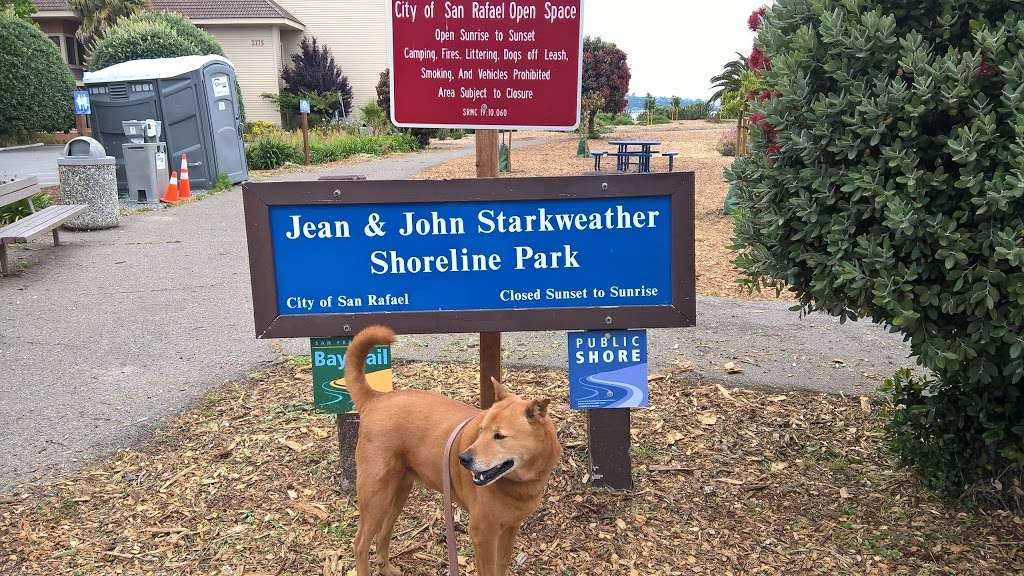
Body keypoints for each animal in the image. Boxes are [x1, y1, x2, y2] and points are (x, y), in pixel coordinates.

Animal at [348, 325, 565, 569]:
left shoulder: (510, 528)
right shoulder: (483, 534)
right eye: (481, 430)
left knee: (382, 535)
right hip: (376, 495)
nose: (463, 459)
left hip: (397, 493)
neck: (520, 483)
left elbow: (502, 565)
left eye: (499, 436)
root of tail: (376, 398)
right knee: (360, 543)